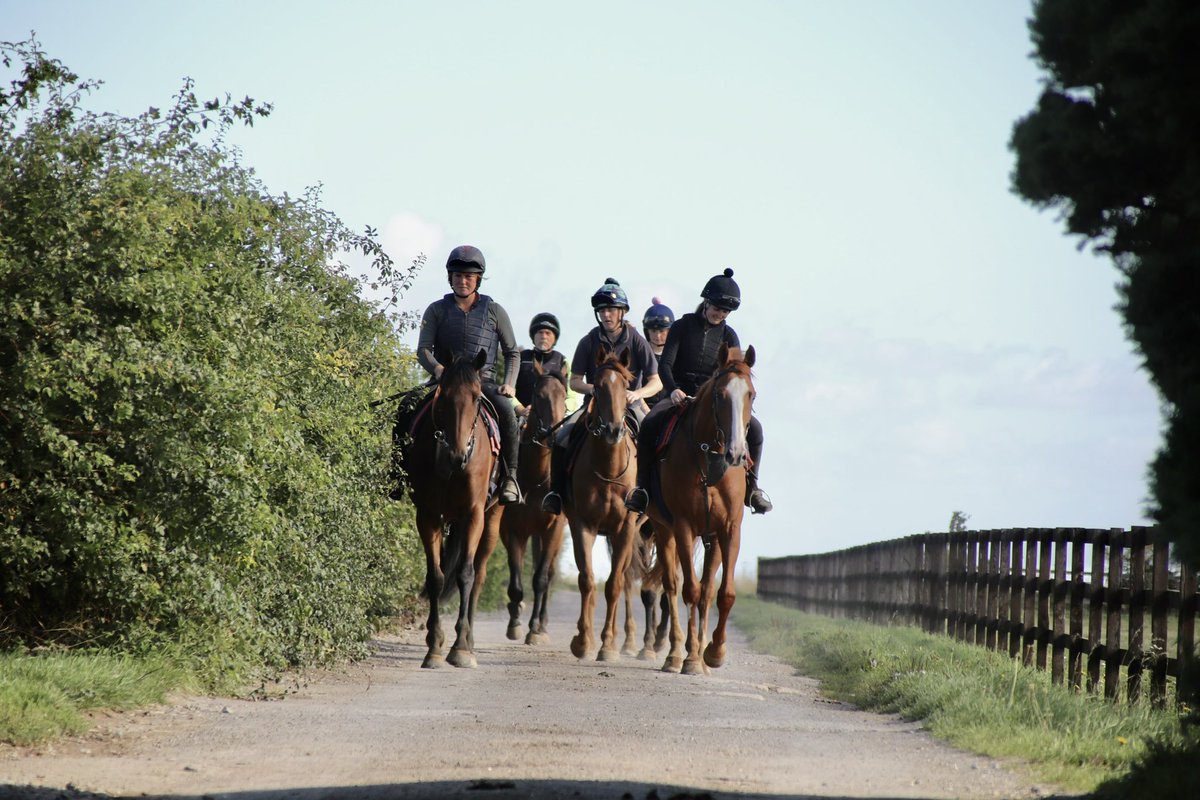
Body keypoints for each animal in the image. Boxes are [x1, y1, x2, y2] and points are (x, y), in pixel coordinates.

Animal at [403, 349, 502, 669]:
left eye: (476, 397)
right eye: (443, 395)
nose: (456, 455)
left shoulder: (474, 515)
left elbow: (465, 575)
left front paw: (460, 649)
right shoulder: (428, 515)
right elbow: (436, 577)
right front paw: (434, 646)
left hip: (492, 520)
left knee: (478, 575)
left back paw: (468, 640)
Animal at [648, 343, 757, 675]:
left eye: (751, 395)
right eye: (720, 395)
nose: (736, 453)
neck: (710, 460)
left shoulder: (728, 529)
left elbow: (722, 593)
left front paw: (715, 652)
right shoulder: (683, 526)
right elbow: (690, 590)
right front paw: (692, 658)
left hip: (711, 538)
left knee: (707, 589)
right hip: (664, 530)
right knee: (672, 587)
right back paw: (674, 654)